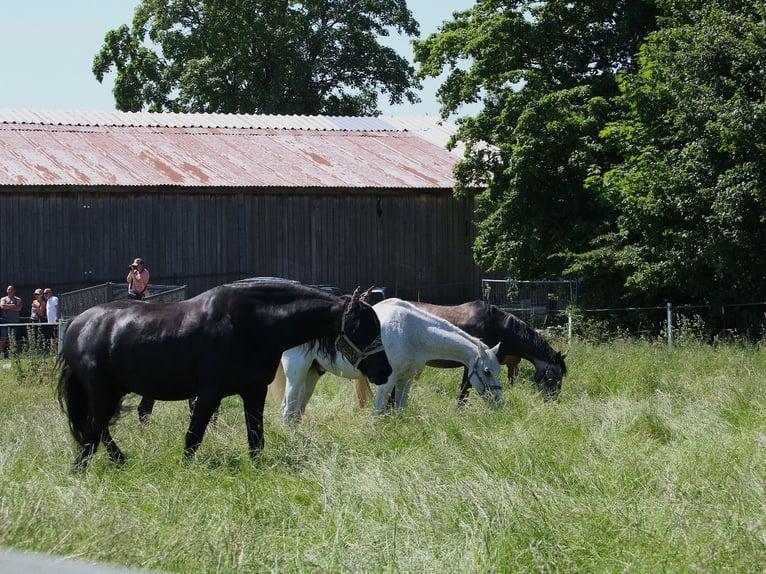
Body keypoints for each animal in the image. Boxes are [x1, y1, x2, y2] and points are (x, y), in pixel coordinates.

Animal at [56, 282, 391, 469]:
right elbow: (193, 436)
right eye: (365, 326)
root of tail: (75, 327)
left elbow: (256, 438)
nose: (385, 370)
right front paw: (185, 469)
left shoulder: (254, 391)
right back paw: (81, 469)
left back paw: (117, 461)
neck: (250, 325)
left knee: (98, 429)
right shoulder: (209, 393)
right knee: (93, 431)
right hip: (102, 391)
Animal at [271, 297, 503, 422]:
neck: (412, 331)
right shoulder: (387, 381)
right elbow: (378, 411)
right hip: (297, 373)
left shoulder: (405, 380)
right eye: (487, 371)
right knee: (287, 409)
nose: (499, 402)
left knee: (297, 410)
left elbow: (399, 409)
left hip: (312, 373)